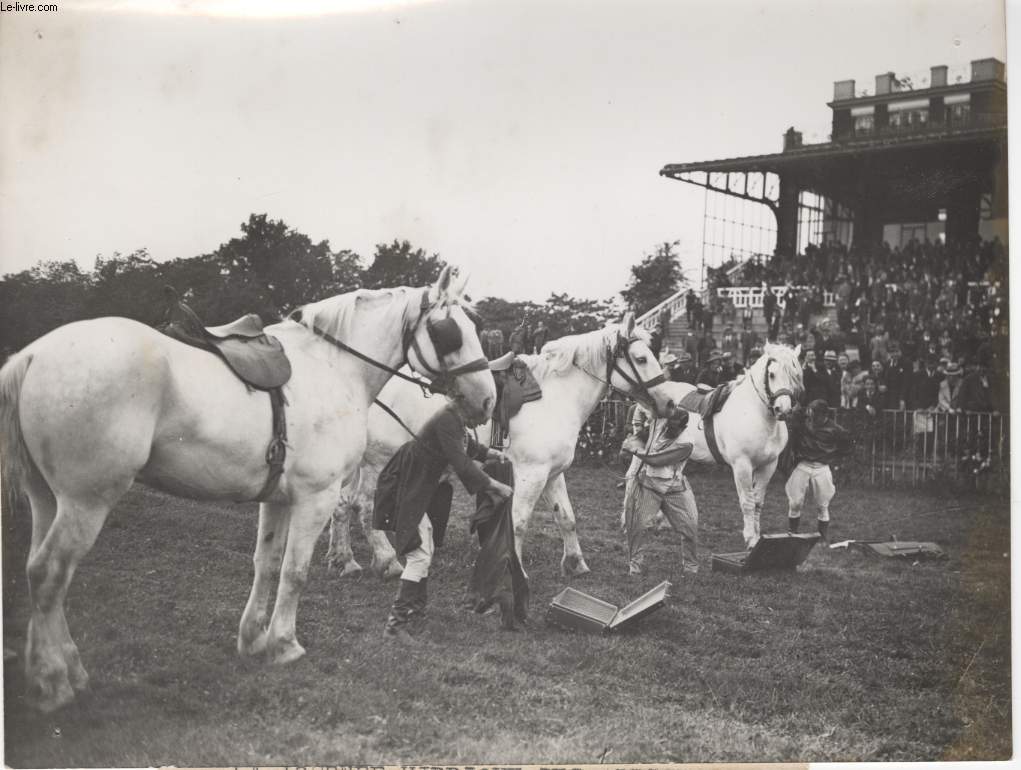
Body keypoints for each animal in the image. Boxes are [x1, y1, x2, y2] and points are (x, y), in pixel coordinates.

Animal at [0, 267, 494, 710]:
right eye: (449, 332)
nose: (487, 399)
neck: (333, 369)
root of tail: (32, 356)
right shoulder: (315, 497)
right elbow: (296, 572)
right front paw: (284, 643)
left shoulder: (277, 500)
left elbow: (268, 565)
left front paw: (254, 638)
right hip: (86, 501)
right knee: (49, 572)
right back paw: (53, 681)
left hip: (48, 499)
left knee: (38, 569)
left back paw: (67, 668)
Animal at [326, 312, 677, 575]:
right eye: (641, 358)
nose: (670, 404)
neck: (555, 398)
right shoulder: (532, 474)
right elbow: (518, 523)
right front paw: (515, 568)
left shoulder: (553, 473)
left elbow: (567, 518)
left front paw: (575, 563)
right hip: (378, 463)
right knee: (364, 506)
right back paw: (386, 561)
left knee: (342, 505)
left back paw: (345, 559)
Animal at [665, 341, 800, 547]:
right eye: (771, 374)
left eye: (795, 375)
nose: (783, 410)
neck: (755, 414)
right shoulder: (742, 465)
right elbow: (748, 502)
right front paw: (750, 538)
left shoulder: (768, 465)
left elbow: (758, 502)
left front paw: (757, 537)